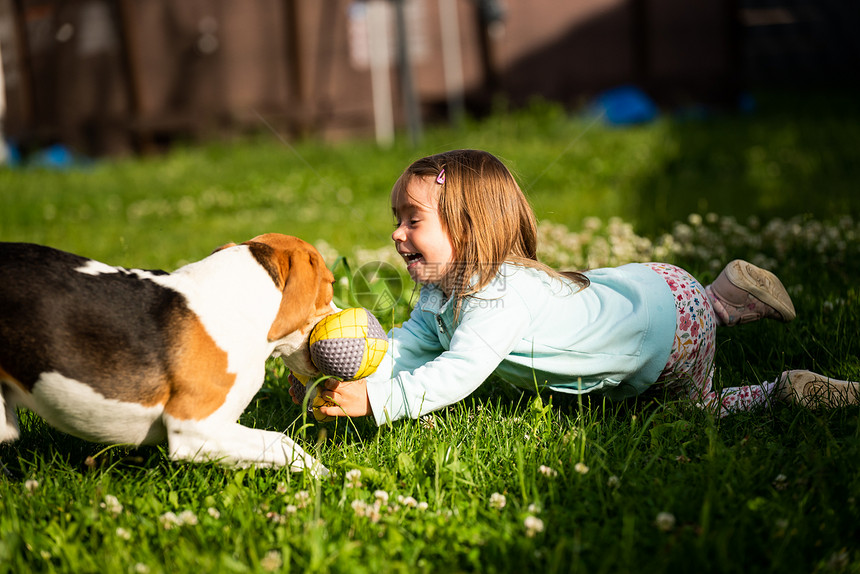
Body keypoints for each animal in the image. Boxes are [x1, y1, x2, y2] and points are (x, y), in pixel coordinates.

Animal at [0, 234, 334, 476]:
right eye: (330, 285)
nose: (340, 311)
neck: (233, 302)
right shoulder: (195, 428)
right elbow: (283, 443)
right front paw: (325, 477)